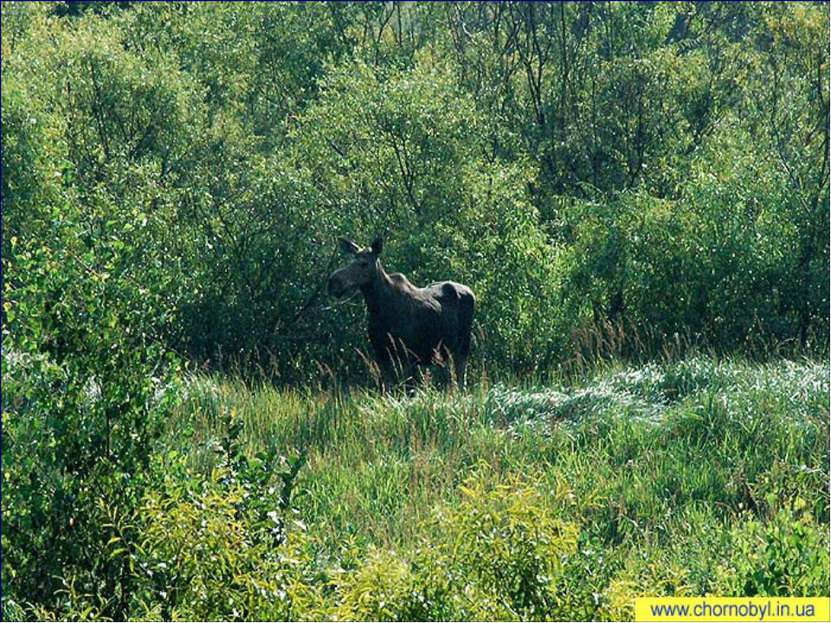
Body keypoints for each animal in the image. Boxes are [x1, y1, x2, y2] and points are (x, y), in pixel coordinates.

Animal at [330, 238, 478, 390]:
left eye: (364, 263)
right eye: (351, 260)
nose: (333, 282)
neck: (378, 309)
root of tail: (470, 291)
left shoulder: (407, 355)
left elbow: (408, 388)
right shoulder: (381, 354)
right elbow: (387, 388)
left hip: (463, 345)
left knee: (461, 378)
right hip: (443, 351)